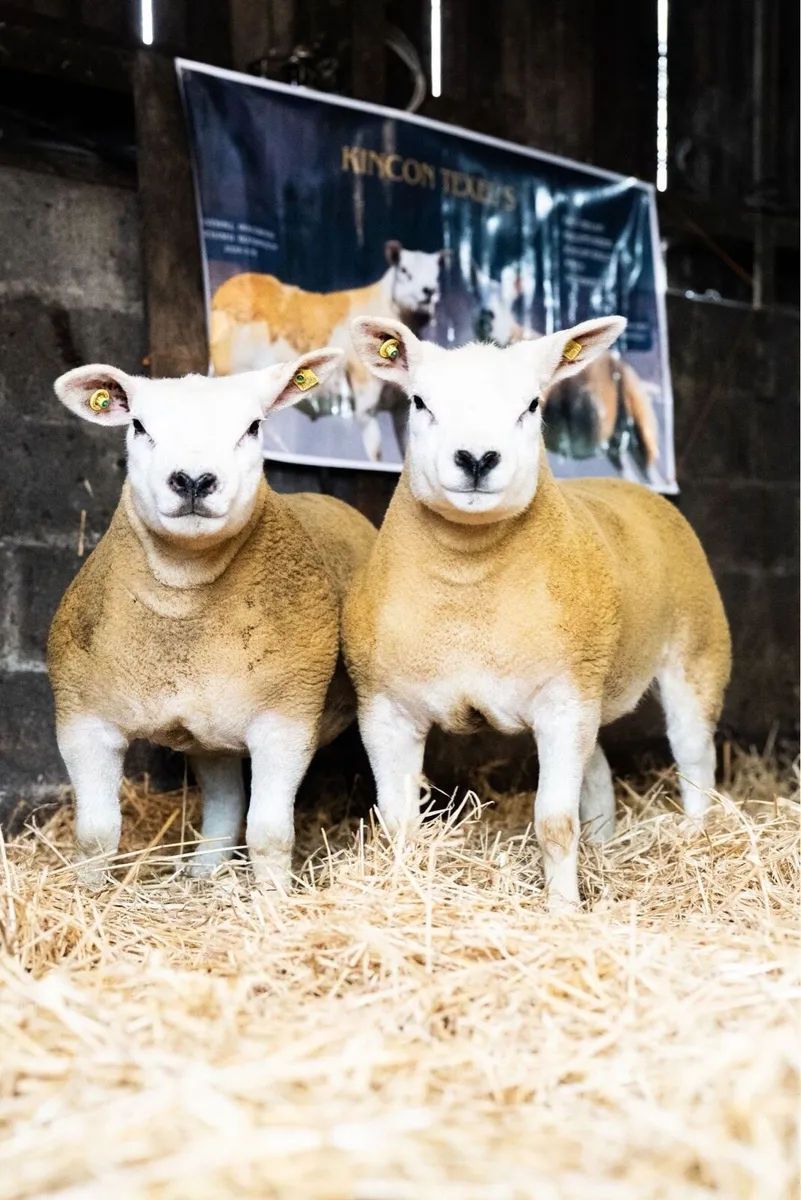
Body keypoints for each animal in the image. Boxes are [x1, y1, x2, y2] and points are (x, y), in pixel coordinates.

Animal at [48, 351, 376, 888]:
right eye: (138, 425)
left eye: (253, 426)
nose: (194, 480)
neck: (185, 605)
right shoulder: (83, 718)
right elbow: (94, 837)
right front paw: (87, 895)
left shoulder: (287, 717)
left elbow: (269, 834)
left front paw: (272, 899)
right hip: (211, 734)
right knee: (224, 802)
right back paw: (204, 872)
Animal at [209, 240, 447, 462]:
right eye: (404, 270)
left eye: (437, 275)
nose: (429, 292)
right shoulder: (365, 405)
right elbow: (376, 454)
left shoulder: (400, 409)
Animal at [343, 315, 731, 911]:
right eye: (419, 401)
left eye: (532, 404)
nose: (477, 459)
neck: (469, 585)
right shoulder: (384, 708)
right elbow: (398, 824)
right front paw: (402, 893)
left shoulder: (564, 702)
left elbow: (554, 823)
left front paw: (564, 910)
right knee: (598, 771)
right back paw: (606, 844)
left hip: (696, 651)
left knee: (694, 756)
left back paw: (696, 835)